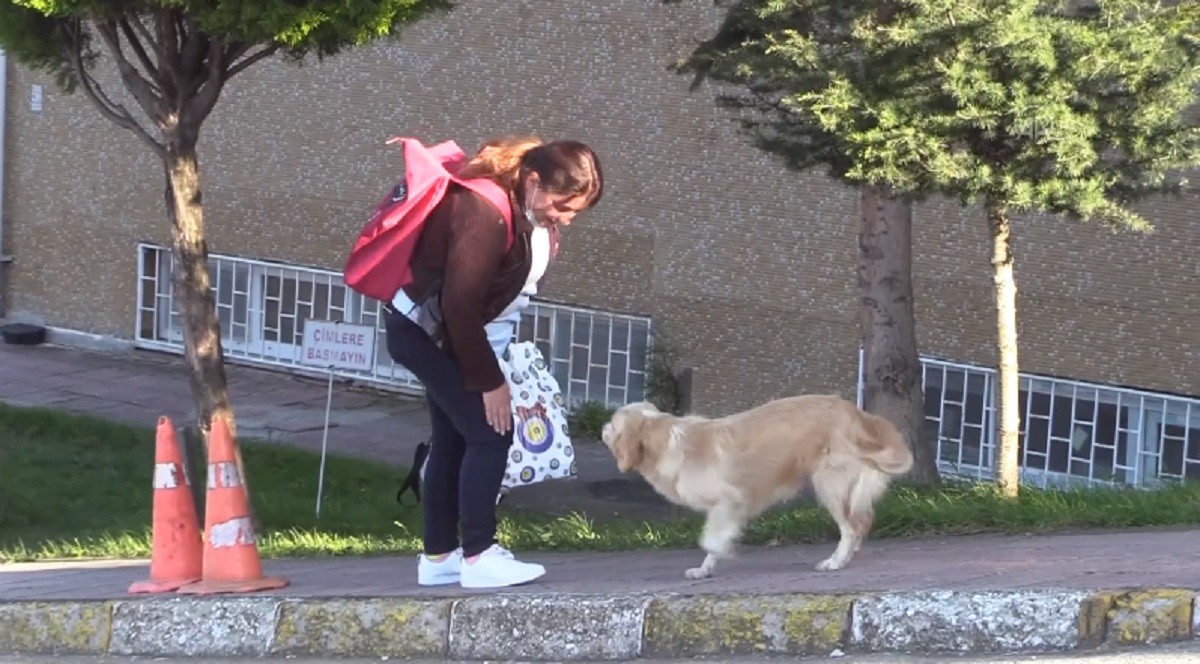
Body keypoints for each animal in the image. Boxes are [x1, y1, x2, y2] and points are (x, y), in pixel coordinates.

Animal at [595, 393, 912, 573]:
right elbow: (711, 543)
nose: (600, 426)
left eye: (612, 423)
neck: (663, 437)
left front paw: (724, 551)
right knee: (861, 520)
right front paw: (705, 569)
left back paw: (836, 561)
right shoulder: (727, 508)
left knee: (850, 527)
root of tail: (856, 413)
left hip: (828, 482)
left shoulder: (731, 500)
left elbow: (709, 539)